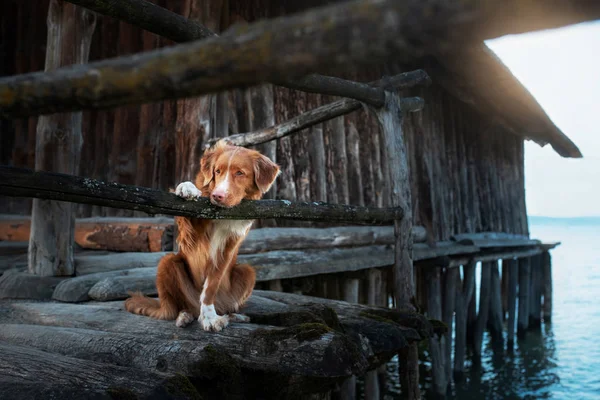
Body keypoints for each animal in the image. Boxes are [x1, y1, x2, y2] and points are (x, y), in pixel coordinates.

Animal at [125, 141, 280, 332]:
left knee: (226, 306)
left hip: (247, 272)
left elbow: (210, 286)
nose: (217, 196)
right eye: (217, 171)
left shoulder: (228, 248)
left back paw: (232, 316)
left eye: (240, 173)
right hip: (167, 263)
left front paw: (209, 317)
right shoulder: (192, 232)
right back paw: (184, 316)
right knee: (177, 307)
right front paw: (186, 187)